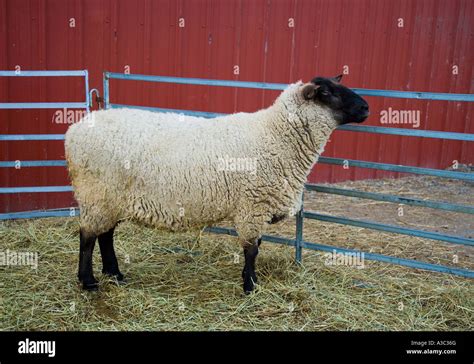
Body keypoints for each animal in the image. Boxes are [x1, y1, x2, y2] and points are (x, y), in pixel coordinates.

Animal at [65, 74, 370, 292]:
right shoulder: (253, 205)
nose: (366, 107)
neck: (276, 136)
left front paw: (249, 280)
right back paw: (88, 281)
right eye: (327, 93)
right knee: (88, 236)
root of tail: (74, 131)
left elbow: (256, 246)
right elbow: (251, 249)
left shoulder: (256, 206)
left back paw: (115, 274)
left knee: (105, 234)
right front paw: (250, 286)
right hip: (98, 193)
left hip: (111, 197)